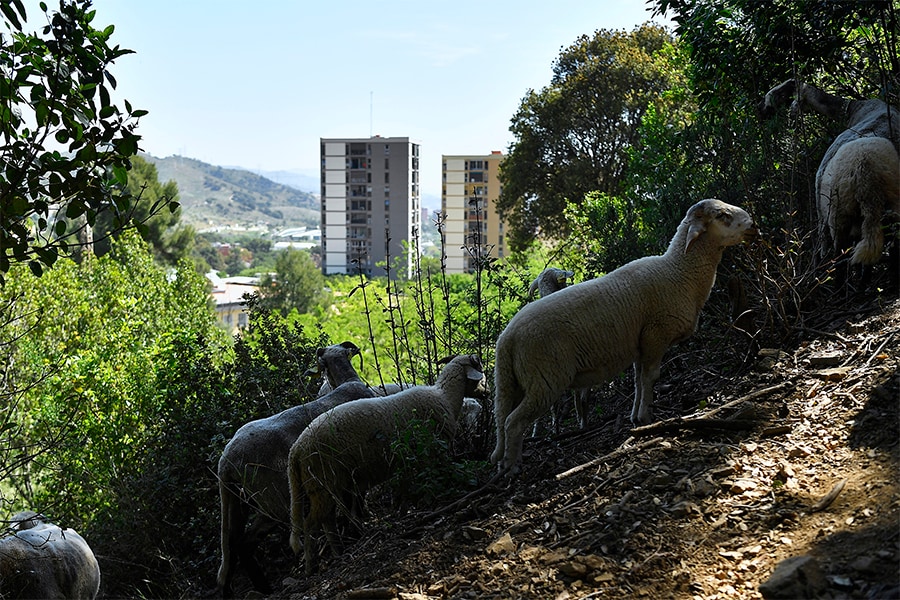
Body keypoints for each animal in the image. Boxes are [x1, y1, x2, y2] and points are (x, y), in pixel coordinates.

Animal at [216, 380, 378, 596]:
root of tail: (225, 462)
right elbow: (354, 503)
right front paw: (358, 530)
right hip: (275, 500)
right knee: (245, 542)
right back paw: (266, 587)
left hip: (238, 500)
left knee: (233, 543)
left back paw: (239, 590)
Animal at [286, 354, 486, 576]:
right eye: (479, 370)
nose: (486, 393)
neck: (445, 397)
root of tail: (296, 450)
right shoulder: (432, 452)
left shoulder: (405, 462)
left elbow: (404, 492)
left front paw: (402, 512)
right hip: (323, 483)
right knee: (311, 523)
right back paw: (311, 565)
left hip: (323, 486)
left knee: (326, 520)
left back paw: (338, 552)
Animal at [488, 199, 756, 476]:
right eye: (722, 215)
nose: (753, 227)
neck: (679, 273)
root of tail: (506, 339)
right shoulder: (656, 334)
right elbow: (651, 377)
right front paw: (646, 417)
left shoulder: (642, 343)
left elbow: (638, 380)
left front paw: (636, 417)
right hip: (545, 377)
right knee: (514, 421)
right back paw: (512, 466)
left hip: (511, 381)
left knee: (502, 417)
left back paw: (501, 463)